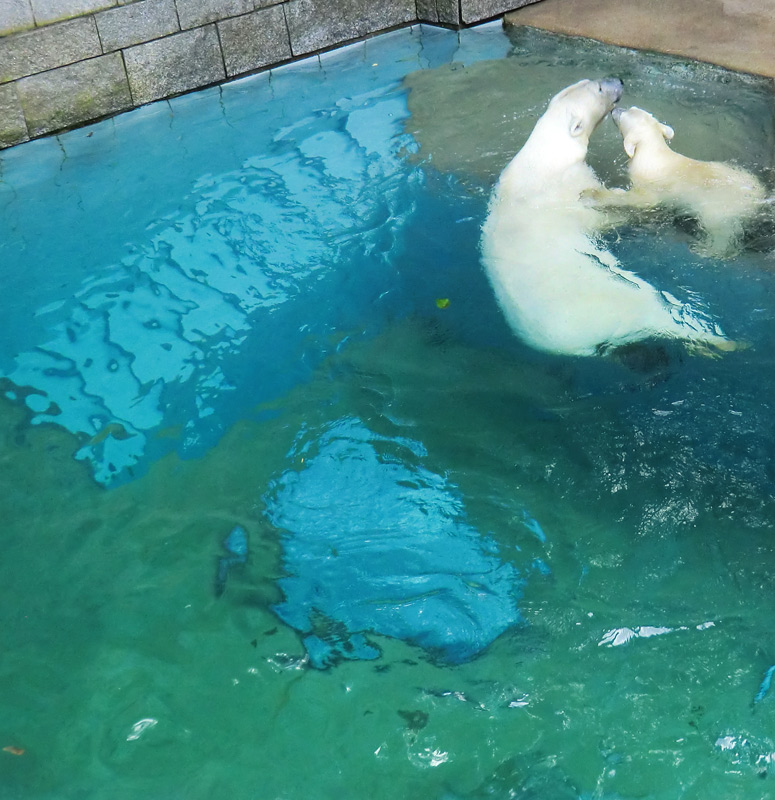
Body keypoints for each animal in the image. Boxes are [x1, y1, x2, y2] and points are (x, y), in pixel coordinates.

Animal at [482, 79, 736, 358]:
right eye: (600, 91)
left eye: (590, 81)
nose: (618, 81)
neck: (546, 154)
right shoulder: (570, 187)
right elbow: (600, 214)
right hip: (616, 298)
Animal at [592, 105, 768, 256]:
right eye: (632, 108)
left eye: (624, 113)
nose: (614, 109)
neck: (654, 154)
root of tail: (758, 195)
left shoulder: (651, 181)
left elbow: (643, 200)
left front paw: (602, 194)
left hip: (722, 205)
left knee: (720, 228)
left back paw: (706, 249)